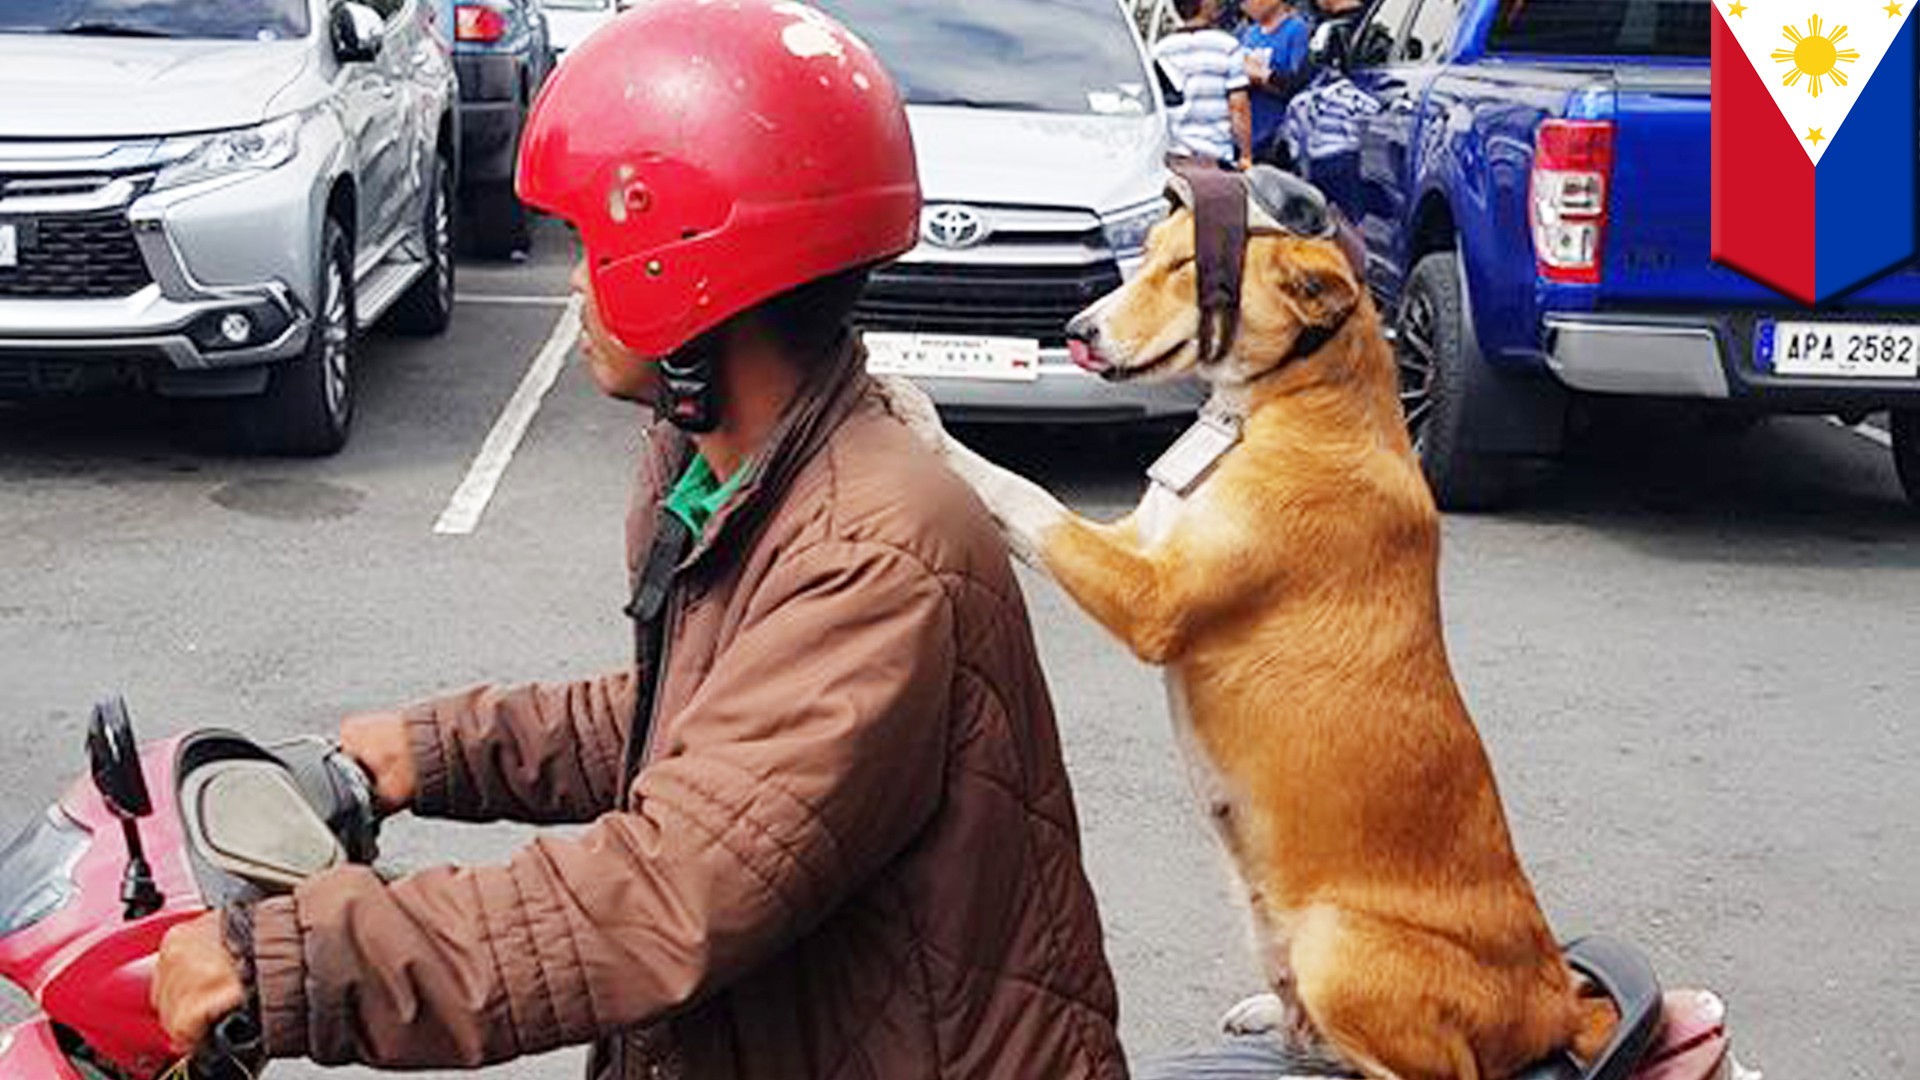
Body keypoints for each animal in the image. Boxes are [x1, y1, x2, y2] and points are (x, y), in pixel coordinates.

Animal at [879, 168, 1612, 1076]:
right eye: (1151, 253)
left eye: (1186, 267)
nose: (1076, 331)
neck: (1278, 409)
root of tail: (1557, 1001)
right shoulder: (1138, 542)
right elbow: (1021, 505)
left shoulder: (1149, 599)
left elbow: (1028, 495)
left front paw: (930, 426)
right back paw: (1279, 1015)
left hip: (1338, 946)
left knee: (1435, 1069)